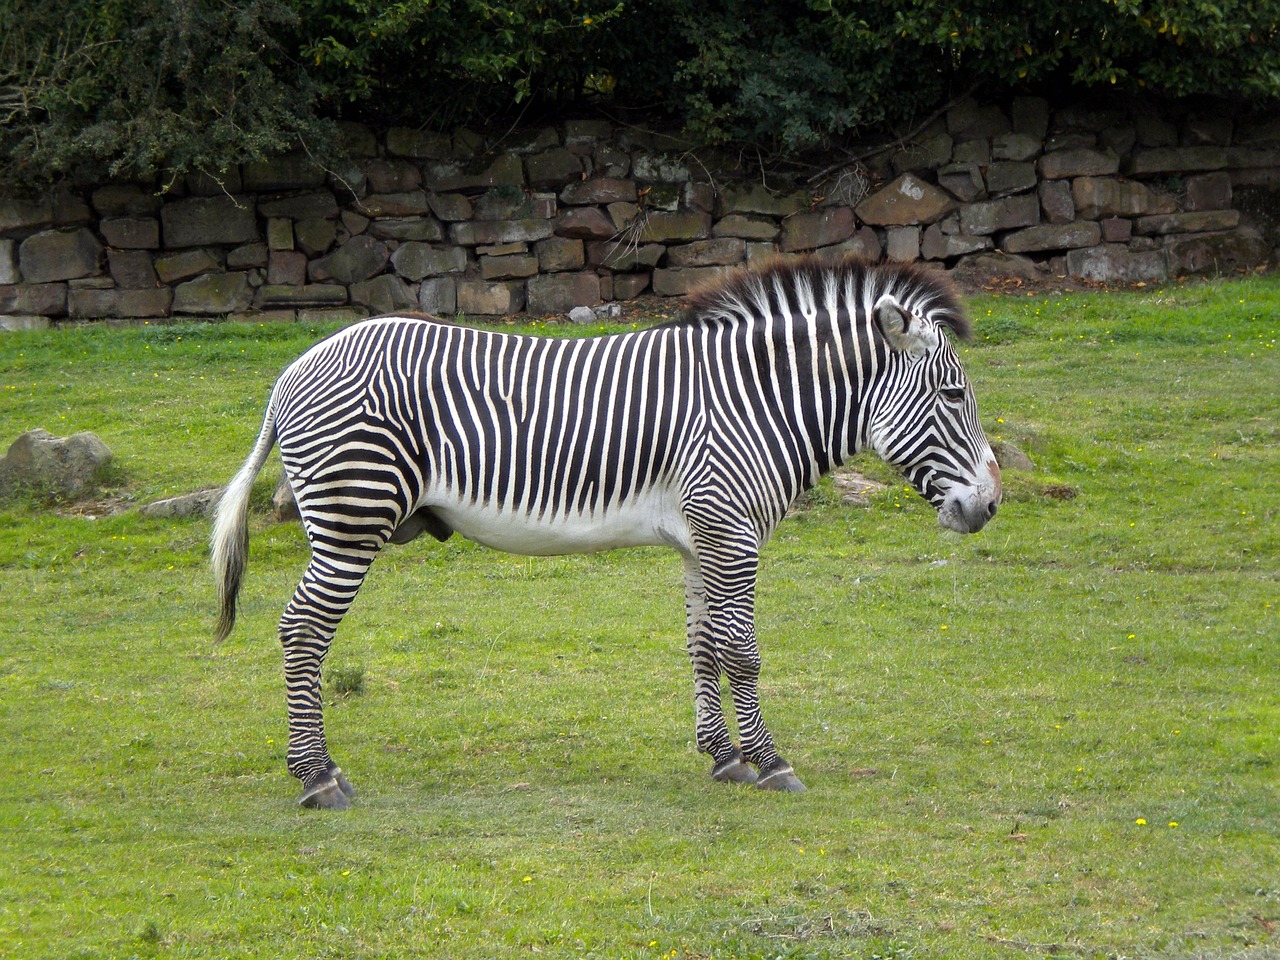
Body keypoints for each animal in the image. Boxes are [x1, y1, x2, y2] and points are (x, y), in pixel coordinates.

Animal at [212, 257, 998, 814]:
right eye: (955, 394)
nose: (991, 506)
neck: (757, 401)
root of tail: (292, 372)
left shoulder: (701, 538)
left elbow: (704, 647)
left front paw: (724, 758)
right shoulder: (731, 531)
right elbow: (743, 653)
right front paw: (772, 762)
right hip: (352, 518)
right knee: (302, 633)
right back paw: (318, 779)